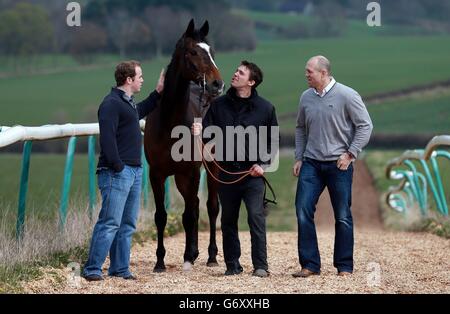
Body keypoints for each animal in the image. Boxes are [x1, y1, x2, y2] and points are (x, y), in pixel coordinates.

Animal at [144, 19, 225, 272]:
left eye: (211, 51)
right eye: (193, 52)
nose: (217, 84)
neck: (169, 122)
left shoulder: (191, 171)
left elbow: (190, 215)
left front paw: (189, 256)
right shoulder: (157, 174)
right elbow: (161, 216)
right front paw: (159, 261)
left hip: (210, 167)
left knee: (210, 207)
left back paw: (210, 255)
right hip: (180, 177)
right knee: (195, 204)